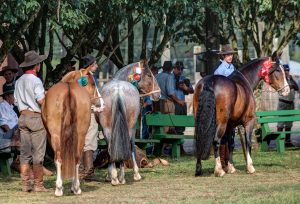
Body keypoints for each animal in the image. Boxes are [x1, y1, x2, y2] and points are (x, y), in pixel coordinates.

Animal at [41, 67, 101, 196]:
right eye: (93, 84)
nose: (100, 104)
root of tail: (68, 89)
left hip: (55, 135)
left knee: (59, 158)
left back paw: (59, 188)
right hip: (81, 135)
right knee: (77, 158)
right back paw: (76, 187)